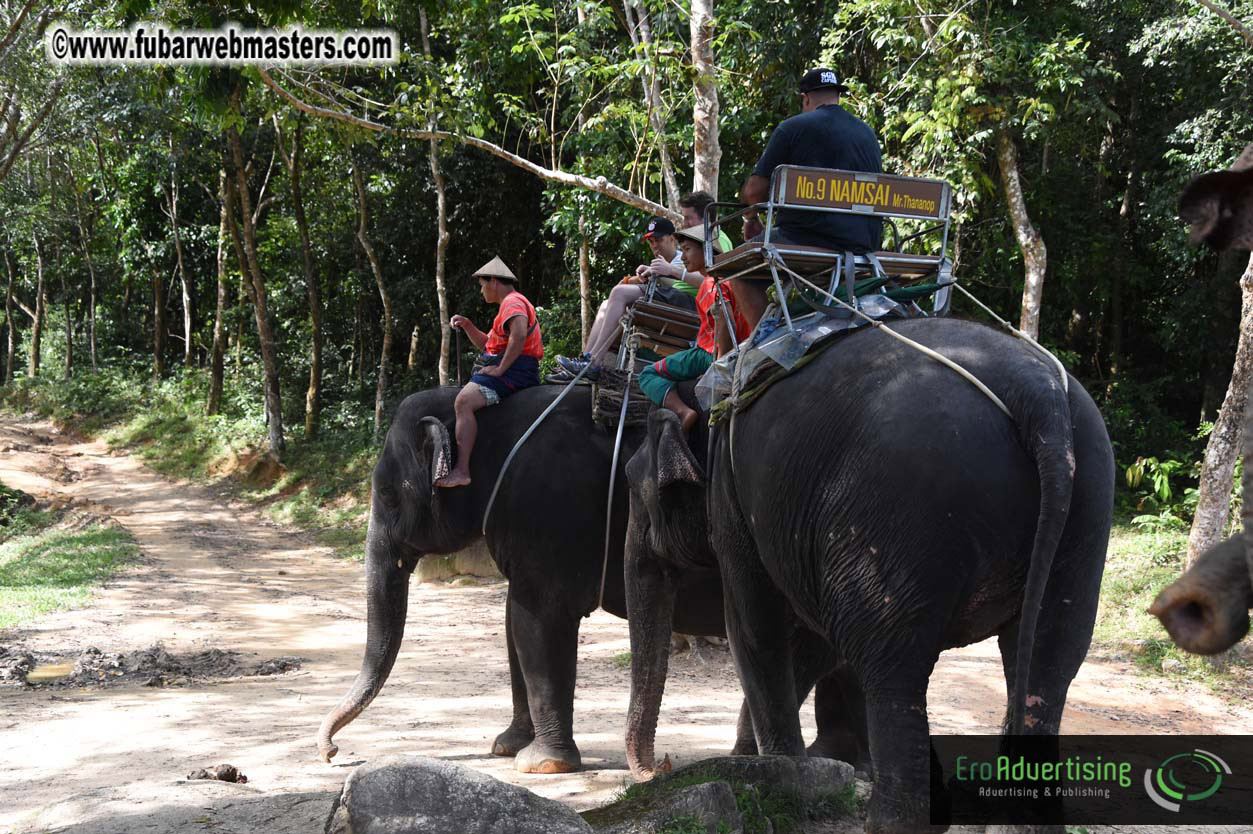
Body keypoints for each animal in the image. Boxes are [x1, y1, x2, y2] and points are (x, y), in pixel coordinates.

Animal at [315, 382, 846, 773]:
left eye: (387, 495)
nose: (332, 753)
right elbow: (513, 621)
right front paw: (507, 747)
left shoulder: (549, 509)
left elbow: (537, 619)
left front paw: (540, 765)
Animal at [624, 317, 1115, 833]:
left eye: (632, 486)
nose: (656, 770)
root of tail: (1039, 393)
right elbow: (815, 639)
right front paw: (758, 764)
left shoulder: (732, 496)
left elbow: (755, 626)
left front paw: (778, 773)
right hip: (1087, 507)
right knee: (1048, 658)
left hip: (902, 511)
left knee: (890, 665)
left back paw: (893, 820)